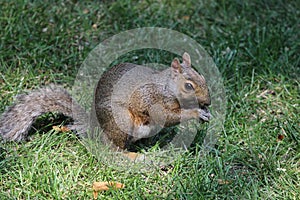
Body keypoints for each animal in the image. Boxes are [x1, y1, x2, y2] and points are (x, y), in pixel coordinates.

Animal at [0, 52, 211, 151]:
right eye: (189, 86)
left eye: (203, 77)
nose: (208, 102)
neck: (167, 87)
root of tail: (94, 127)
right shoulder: (151, 97)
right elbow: (165, 116)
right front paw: (196, 113)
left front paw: (204, 113)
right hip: (121, 120)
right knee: (115, 148)